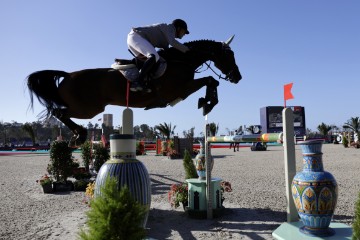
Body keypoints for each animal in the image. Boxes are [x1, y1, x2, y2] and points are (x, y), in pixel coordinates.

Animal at [27, 35, 242, 145]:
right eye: (229, 55)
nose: (237, 77)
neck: (181, 60)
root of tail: (67, 75)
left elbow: (211, 81)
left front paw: (206, 102)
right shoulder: (180, 89)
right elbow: (210, 80)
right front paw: (207, 103)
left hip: (87, 109)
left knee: (60, 113)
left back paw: (77, 135)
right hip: (88, 109)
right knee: (59, 113)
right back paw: (80, 135)